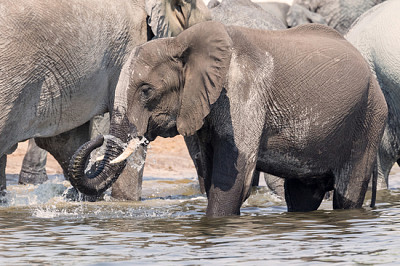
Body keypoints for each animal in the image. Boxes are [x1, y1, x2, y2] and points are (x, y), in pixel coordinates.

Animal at [69, 20, 388, 216]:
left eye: (146, 91)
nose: (97, 137)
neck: (180, 43)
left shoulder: (243, 93)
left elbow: (229, 181)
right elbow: (211, 175)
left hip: (369, 118)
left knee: (347, 194)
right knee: (302, 196)